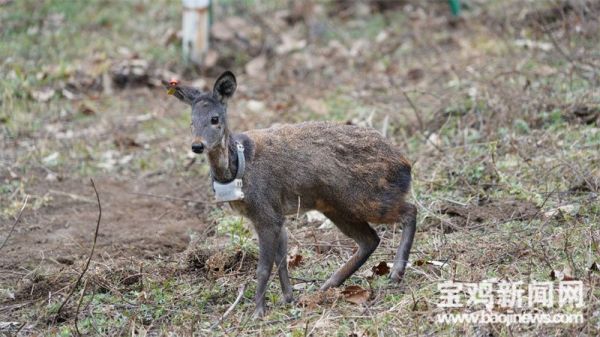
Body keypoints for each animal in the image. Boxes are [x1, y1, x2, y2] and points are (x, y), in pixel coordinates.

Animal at [165, 71, 418, 318]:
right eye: (191, 122)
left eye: (215, 119)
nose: (197, 146)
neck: (239, 168)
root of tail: (405, 164)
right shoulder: (278, 216)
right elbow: (282, 260)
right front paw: (288, 298)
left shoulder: (266, 212)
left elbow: (264, 267)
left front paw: (258, 312)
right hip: (335, 206)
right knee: (370, 239)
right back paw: (327, 286)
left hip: (365, 196)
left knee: (409, 211)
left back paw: (395, 272)